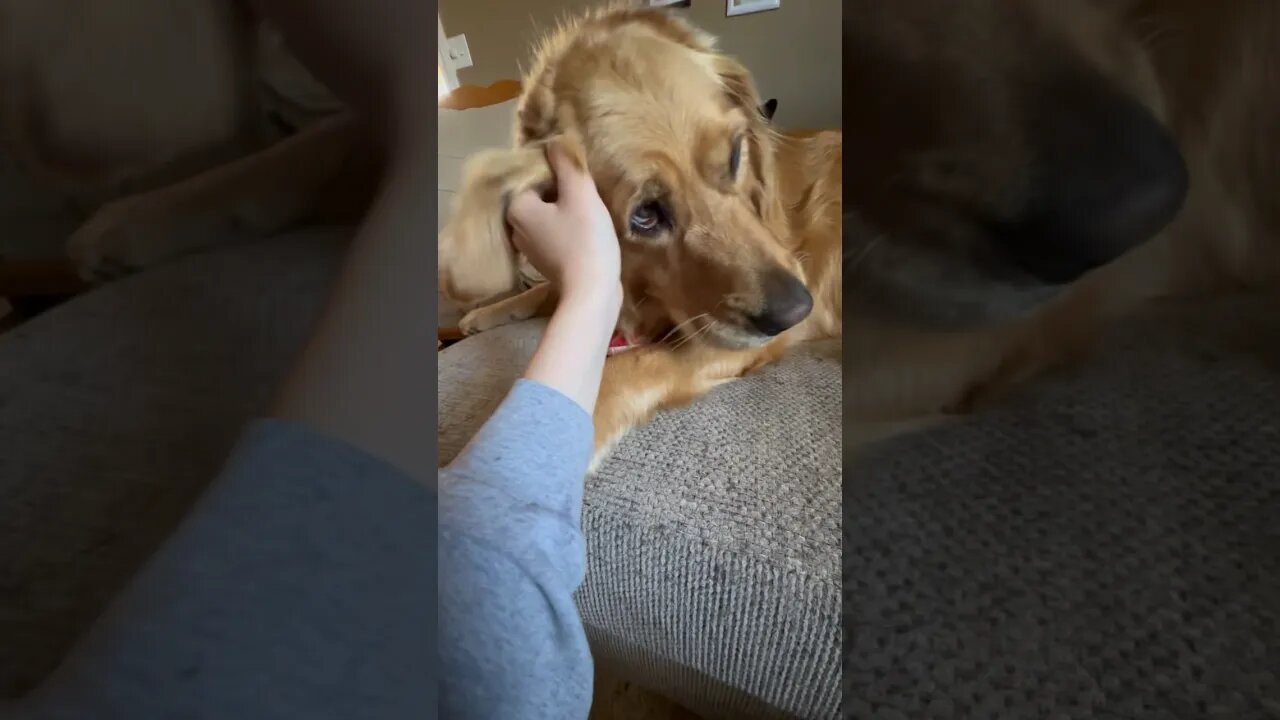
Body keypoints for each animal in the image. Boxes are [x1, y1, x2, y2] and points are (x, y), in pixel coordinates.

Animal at [435, 7, 844, 466]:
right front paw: (484, 313)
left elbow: (623, 368)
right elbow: (546, 291)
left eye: (737, 154)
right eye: (645, 215)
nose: (798, 310)